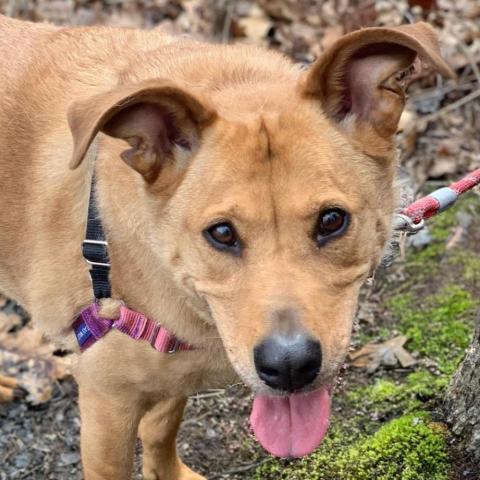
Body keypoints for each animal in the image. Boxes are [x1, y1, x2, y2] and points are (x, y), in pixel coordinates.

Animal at [0, 13, 454, 478]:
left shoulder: (174, 368)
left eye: (332, 220)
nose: (289, 367)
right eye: (221, 233)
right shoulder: (106, 405)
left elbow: (162, 427)